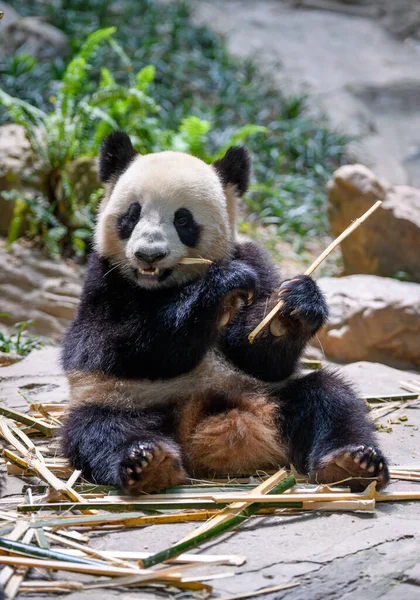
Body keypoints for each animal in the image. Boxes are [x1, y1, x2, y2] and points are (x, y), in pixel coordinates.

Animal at [60, 134, 388, 494]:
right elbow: (114, 347)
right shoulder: (102, 280)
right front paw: (221, 286)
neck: (165, 285)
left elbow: (261, 358)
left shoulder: (254, 257)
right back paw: (148, 462)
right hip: (122, 399)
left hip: (272, 394)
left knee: (331, 399)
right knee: (102, 430)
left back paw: (352, 461)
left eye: (182, 219)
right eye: (132, 214)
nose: (148, 255)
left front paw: (292, 308)